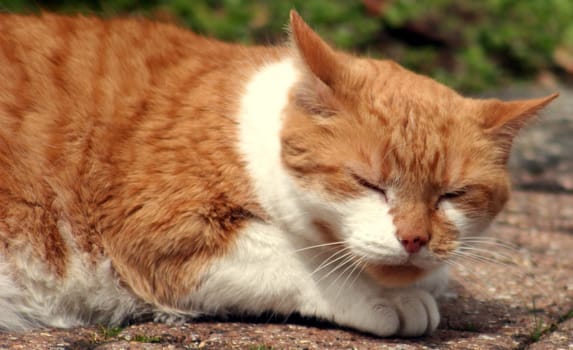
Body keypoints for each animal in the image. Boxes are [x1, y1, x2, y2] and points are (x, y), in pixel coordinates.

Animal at [0, 8, 556, 336]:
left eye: (452, 194)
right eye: (368, 183)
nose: (415, 239)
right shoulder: (161, 233)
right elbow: (303, 262)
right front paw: (386, 295)